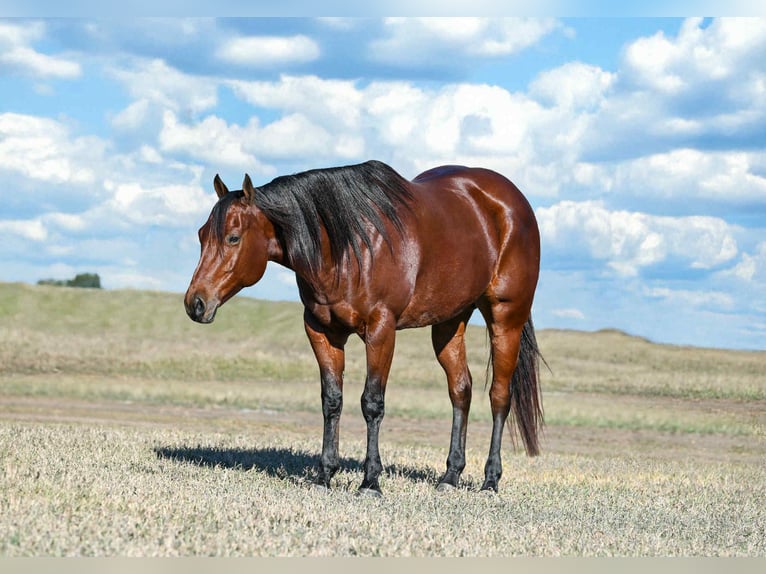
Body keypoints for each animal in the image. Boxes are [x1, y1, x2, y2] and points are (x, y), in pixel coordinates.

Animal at [184, 160, 543, 495]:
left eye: (233, 237)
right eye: (201, 235)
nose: (195, 303)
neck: (347, 246)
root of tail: (513, 202)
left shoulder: (381, 330)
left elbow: (372, 402)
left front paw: (370, 480)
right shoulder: (321, 330)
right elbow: (332, 400)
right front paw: (325, 474)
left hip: (505, 318)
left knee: (499, 396)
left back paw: (490, 480)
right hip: (449, 322)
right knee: (461, 390)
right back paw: (450, 476)